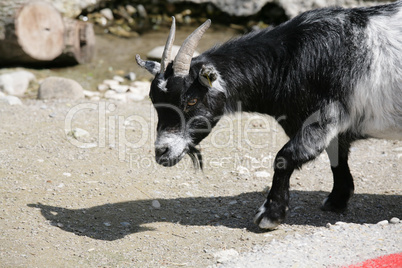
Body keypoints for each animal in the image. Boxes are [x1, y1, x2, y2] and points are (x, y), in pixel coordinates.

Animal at [136, 1, 402, 229]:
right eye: (154, 100)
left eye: (191, 100)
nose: (162, 152)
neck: (292, 59)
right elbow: (337, 157)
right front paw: (337, 200)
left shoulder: (324, 117)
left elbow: (285, 157)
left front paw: (270, 215)